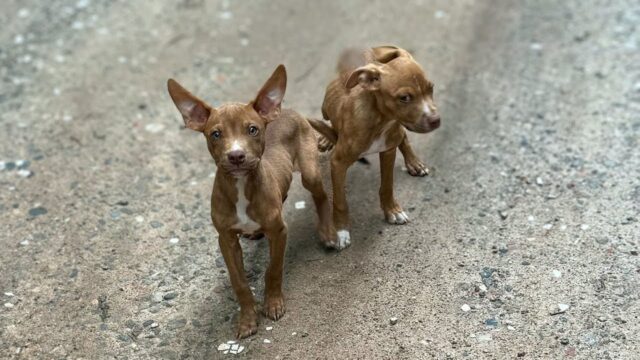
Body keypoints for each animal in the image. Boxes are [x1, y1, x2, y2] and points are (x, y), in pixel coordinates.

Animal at [168, 64, 338, 338]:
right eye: (215, 134)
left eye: (252, 129)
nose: (236, 155)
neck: (240, 186)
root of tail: (286, 109)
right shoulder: (226, 240)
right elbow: (239, 283)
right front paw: (247, 319)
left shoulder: (279, 232)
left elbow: (273, 269)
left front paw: (273, 303)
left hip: (310, 172)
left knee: (321, 196)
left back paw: (328, 233)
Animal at [308, 45, 440, 248]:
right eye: (404, 97)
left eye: (431, 88)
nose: (436, 120)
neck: (381, 121)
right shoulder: (338, 163)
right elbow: (340, 201)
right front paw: (340, 230)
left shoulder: (388, 151)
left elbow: (387, 186)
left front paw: (392, 211)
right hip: (325, 108)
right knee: (329, 120)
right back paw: (326, 139)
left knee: (403, 136)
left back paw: (414, 163)